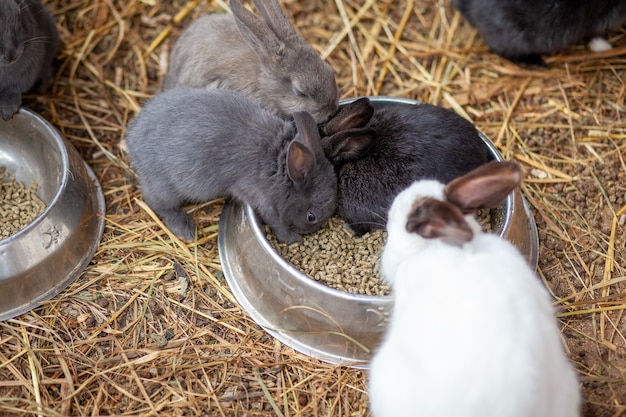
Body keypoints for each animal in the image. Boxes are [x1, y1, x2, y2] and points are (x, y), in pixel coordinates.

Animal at [125, 88, 336, 244]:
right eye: (311, 216)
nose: (311, 231)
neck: (279, 163)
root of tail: (132, 141)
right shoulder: (265, 202)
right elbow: (278, 224)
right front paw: (293, 239)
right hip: (166, 187)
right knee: (157, 202)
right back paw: (185, 229)